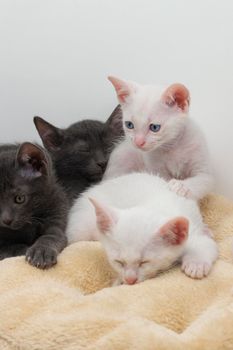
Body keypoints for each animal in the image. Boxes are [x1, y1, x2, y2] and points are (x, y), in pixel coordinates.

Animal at [66, 172, 218, 284]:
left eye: (144, 262)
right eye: (118, 262)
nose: (130, 280)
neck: (156, 206)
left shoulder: (191, 231)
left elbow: (205, 244)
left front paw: (196, 265)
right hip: (81, 228)